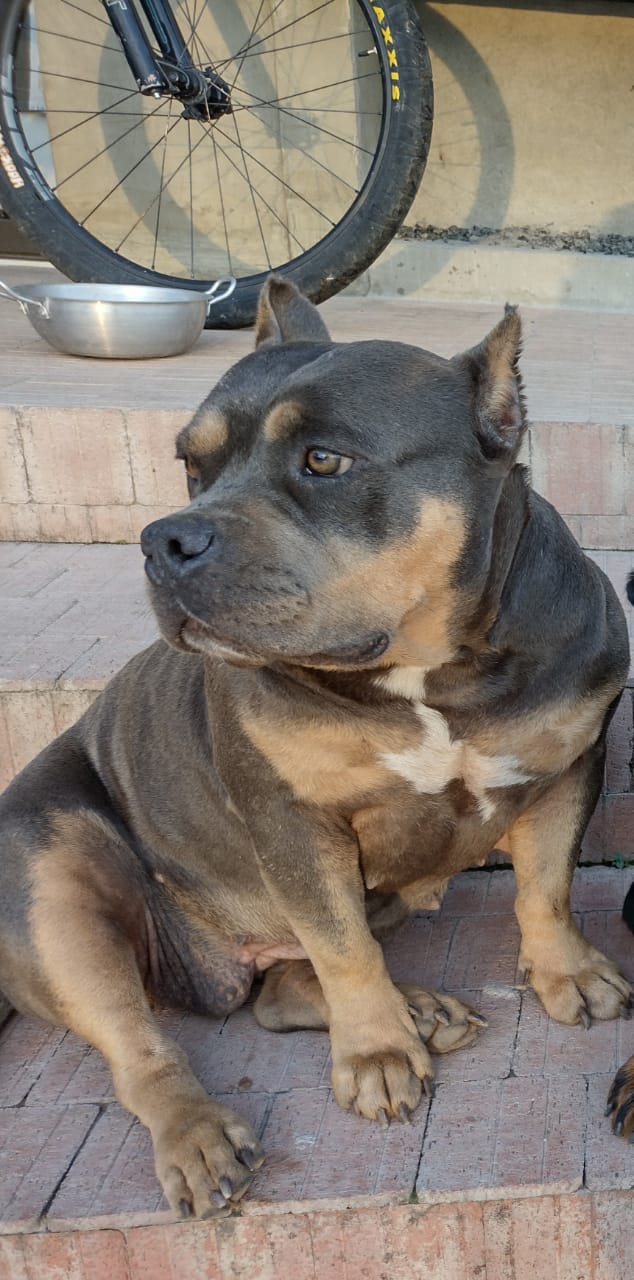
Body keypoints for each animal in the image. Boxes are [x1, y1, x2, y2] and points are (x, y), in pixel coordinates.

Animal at [0, 279, 632, 1218]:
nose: (165, 539)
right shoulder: (293, 823)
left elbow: (544, 889)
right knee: (142, 1045)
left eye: (325, 461)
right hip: (52, 878)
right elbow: (343, 950)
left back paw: (418, 1010)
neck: (431, 672)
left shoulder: (564, 769)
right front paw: (374, 1052)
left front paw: (569, 975)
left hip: (383, 891)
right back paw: (202, 1134)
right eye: (191, 465)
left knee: (284, 989)